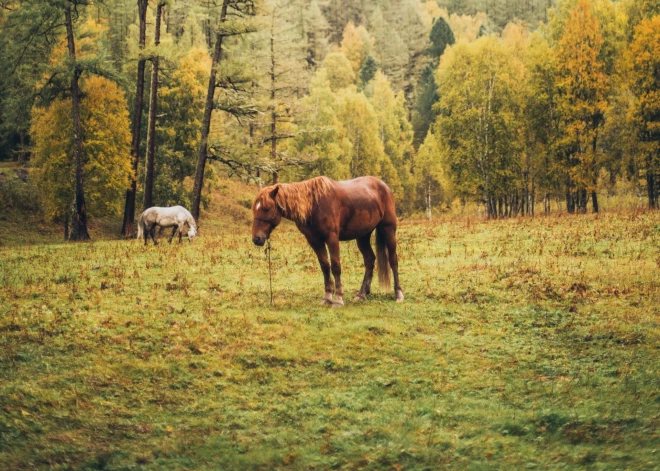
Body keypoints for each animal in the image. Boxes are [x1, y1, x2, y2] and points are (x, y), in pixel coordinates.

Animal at [251, 176, 402, 306]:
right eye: (255, 209)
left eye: (267, 208)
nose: (256, 238)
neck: (314, 205)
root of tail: (383, 186)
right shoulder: (315, 241)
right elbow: (325, 266)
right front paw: (327, 298)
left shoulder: (332, 238)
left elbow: (335, 266)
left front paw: (339, 299)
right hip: (363, 236)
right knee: (370, 260)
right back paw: (361, 294)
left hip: (388, 229)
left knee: (393, 260)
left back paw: (398, 294)